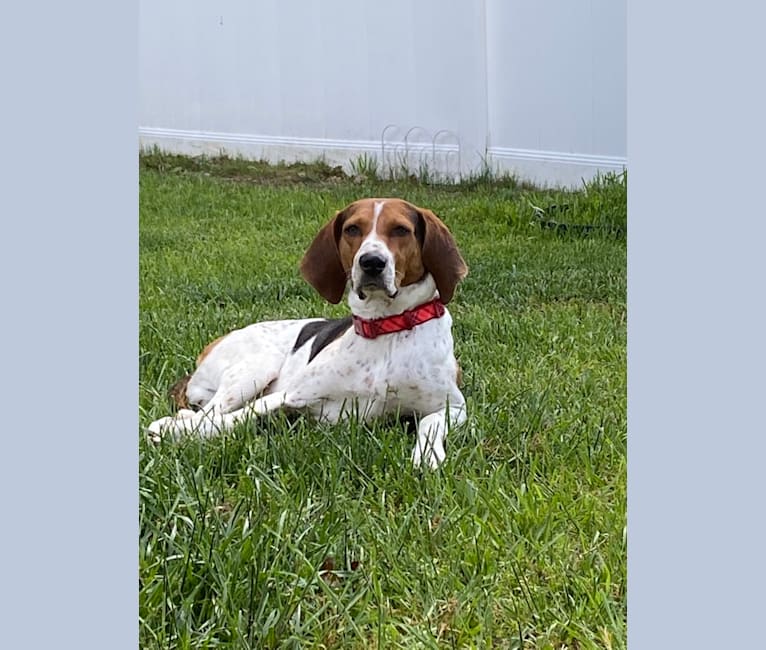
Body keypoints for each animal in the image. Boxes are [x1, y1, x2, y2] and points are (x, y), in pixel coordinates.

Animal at [144, 197, 468, 466]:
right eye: (352, 229)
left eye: (401, 230)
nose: (371, 262)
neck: (385, 328)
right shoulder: (290, 395)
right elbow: (231, 419)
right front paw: (178, 432)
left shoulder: (453, 407)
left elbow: (429, 424)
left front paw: (427, 455)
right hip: (257, 367)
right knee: (210, 410)